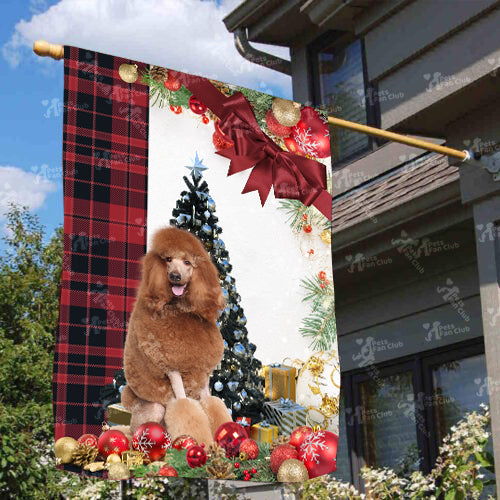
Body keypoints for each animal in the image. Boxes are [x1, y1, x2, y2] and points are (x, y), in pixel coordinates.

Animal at [121, 227, 232, 446]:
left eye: (187, 262)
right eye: (168, 259)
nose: (175, 276)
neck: (181, 308)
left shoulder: (203, 372)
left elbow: (212, 404)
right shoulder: (173, 368)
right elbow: (183, 405)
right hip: (153, 410)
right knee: (134, 433)